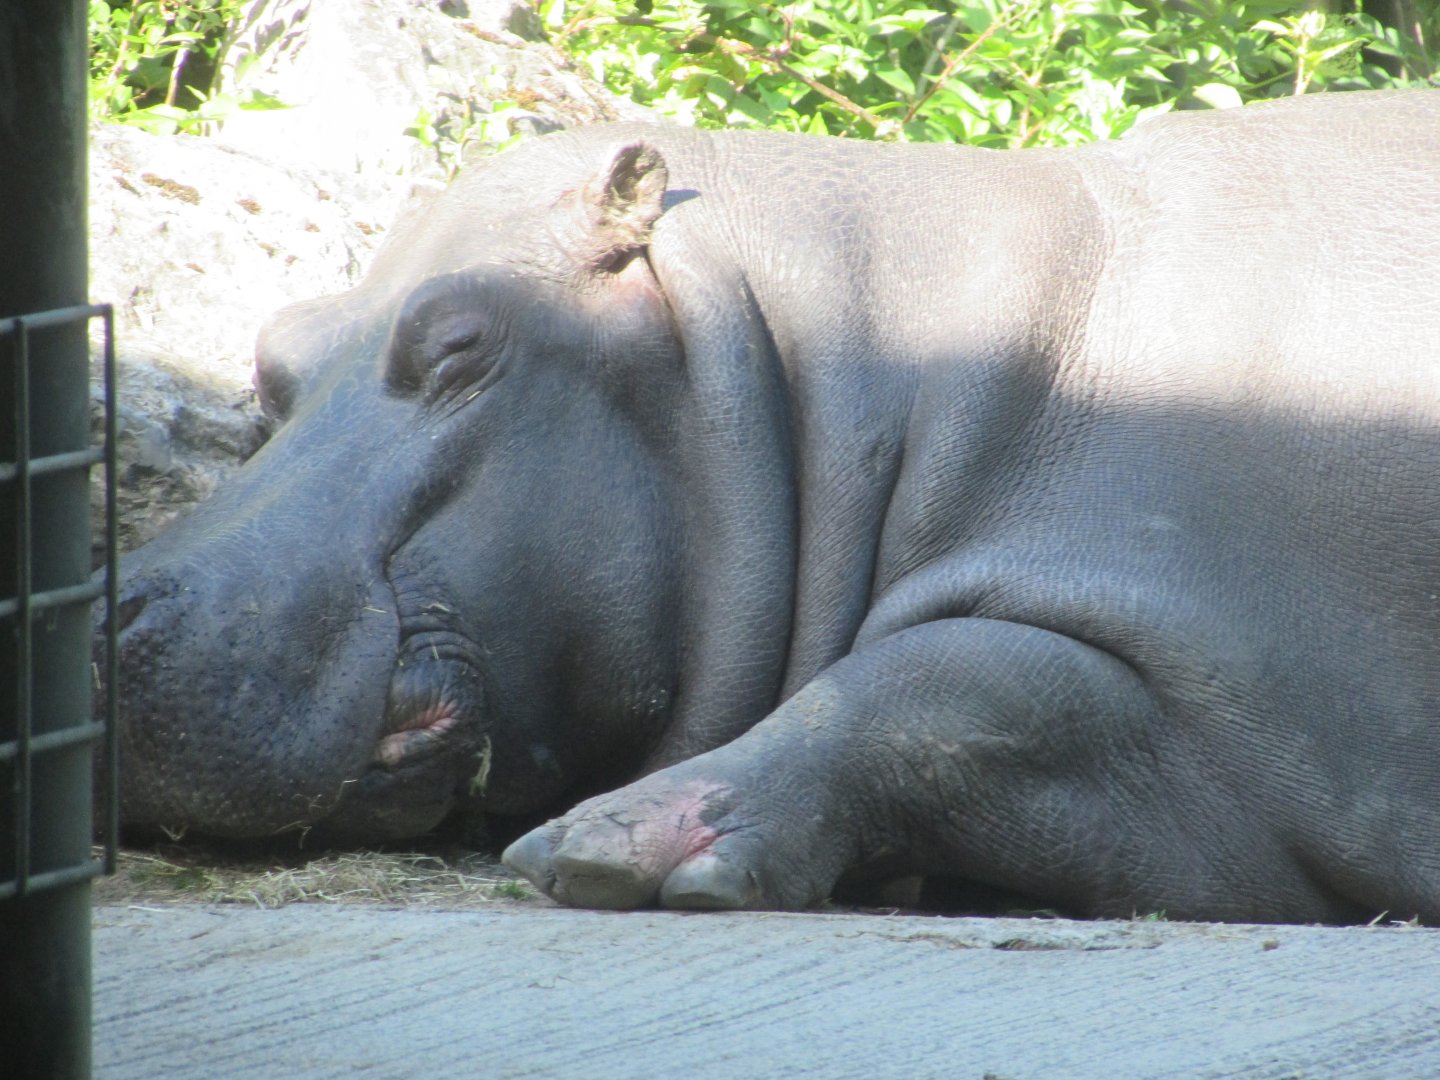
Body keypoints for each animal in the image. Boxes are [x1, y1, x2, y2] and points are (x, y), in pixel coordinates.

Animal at [108, 88, 1440, 923]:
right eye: (276, 351)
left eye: (462, 338)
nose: (110, 609)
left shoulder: (1267, 704)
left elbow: (943, 688)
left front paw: (601, 847)